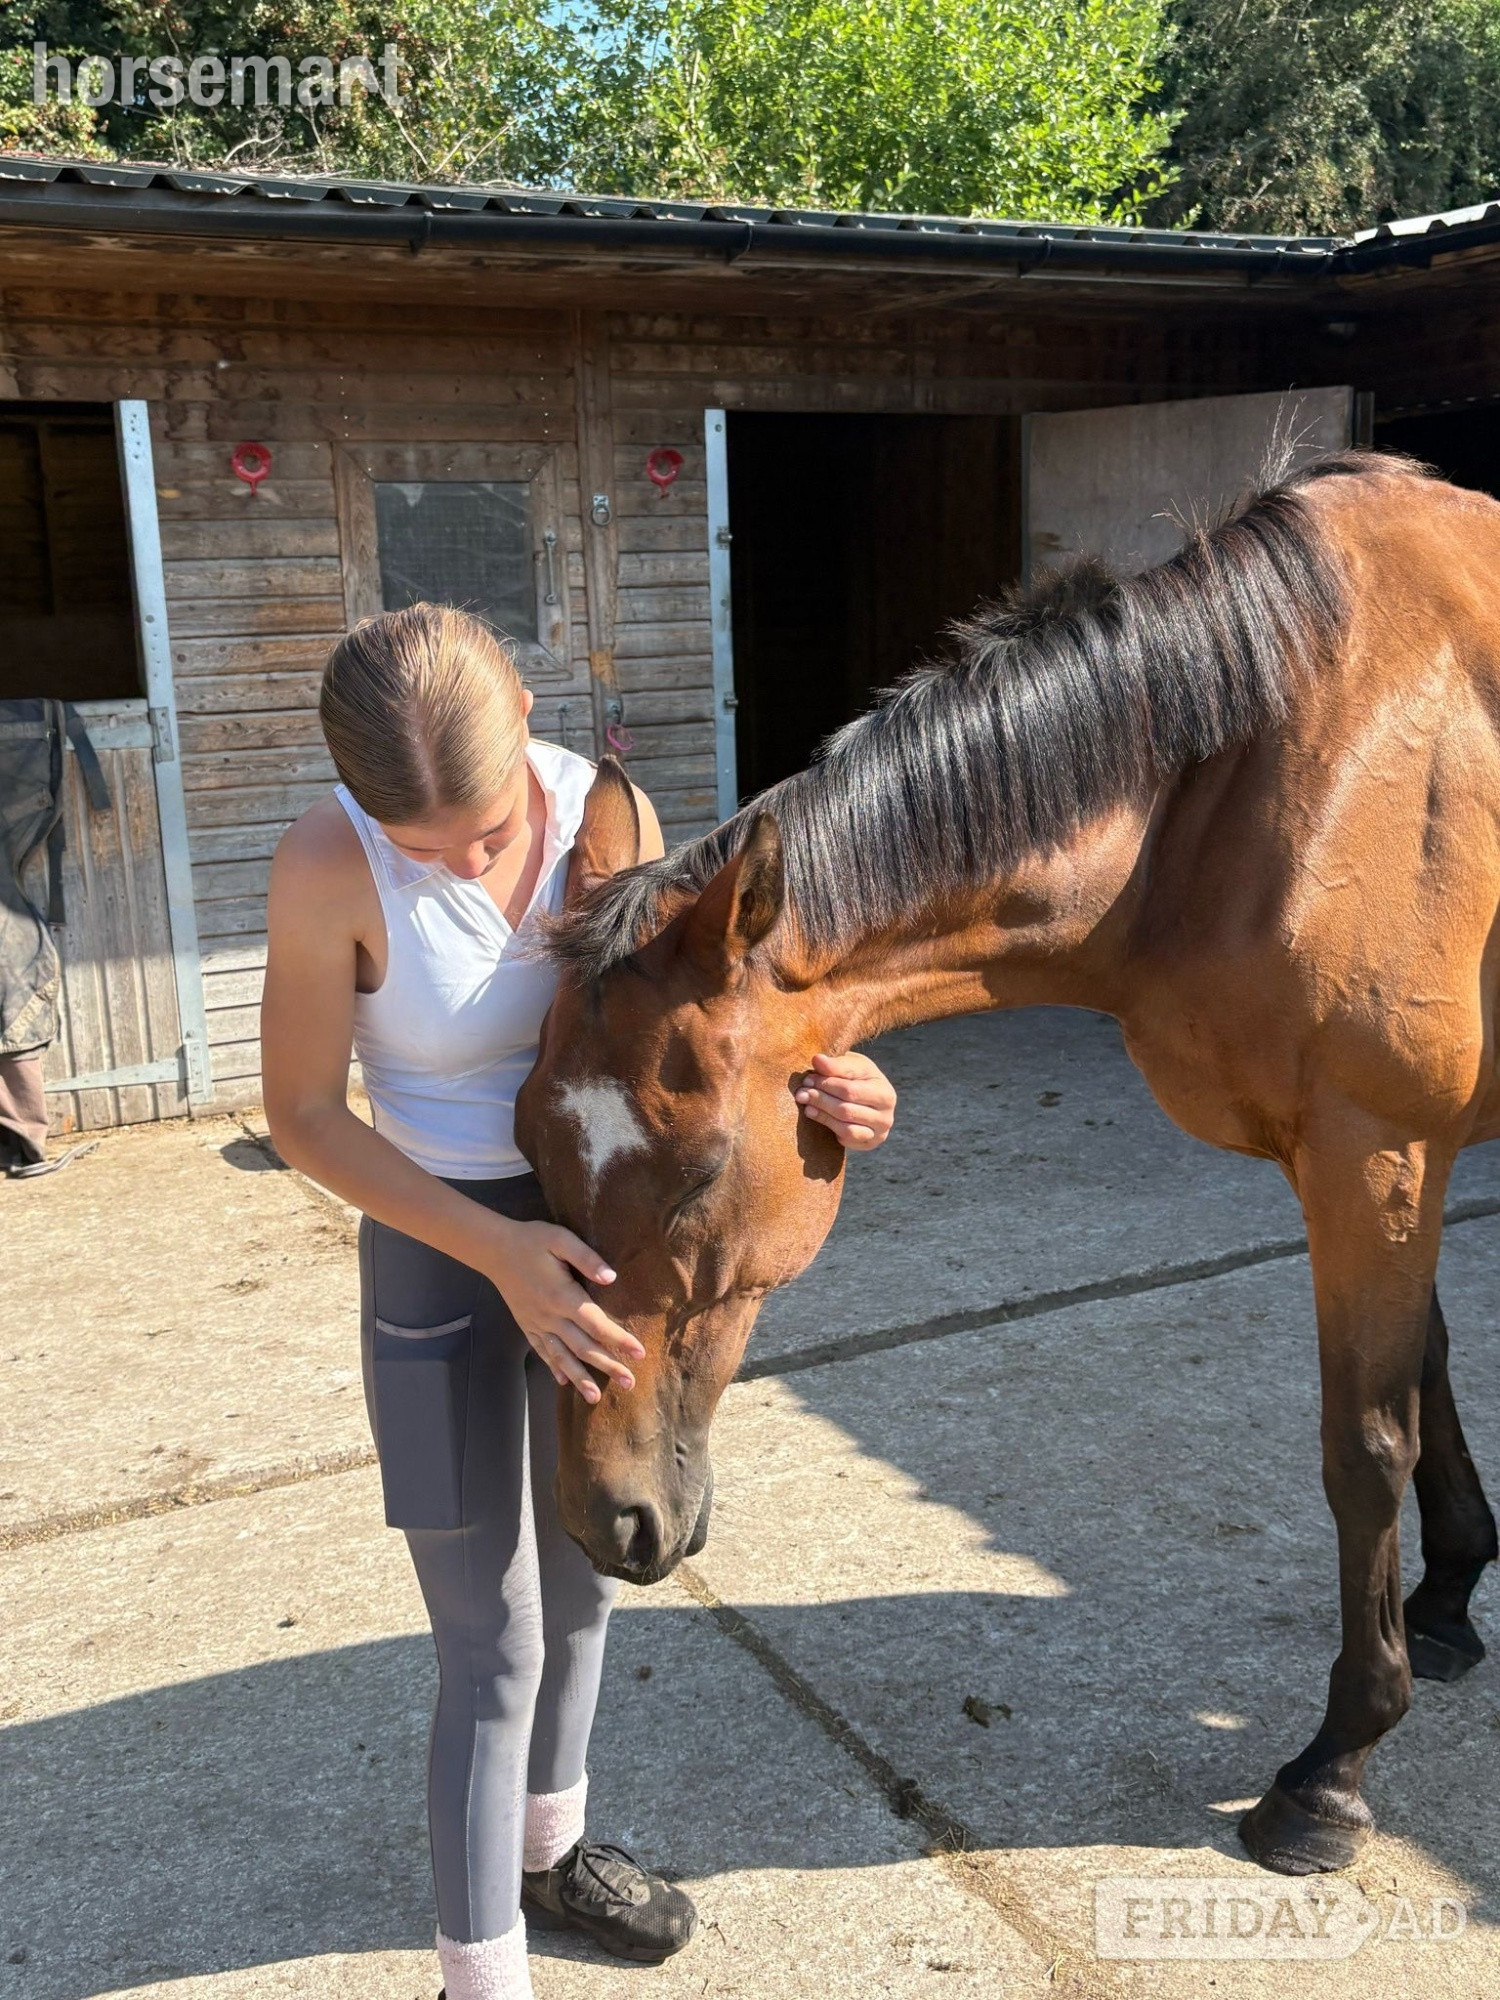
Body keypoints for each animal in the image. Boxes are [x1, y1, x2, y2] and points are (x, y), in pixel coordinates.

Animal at [513, 449, 1500, 1878]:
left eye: (696, 1177)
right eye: (527, 1138)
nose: (607, 1518)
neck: (1278, 771)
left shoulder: (1376, 1152)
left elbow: (1365, 1445)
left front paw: (1335, 1767)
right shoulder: (1380, 1164)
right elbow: (1424, 1376)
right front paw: (1450, 1593)